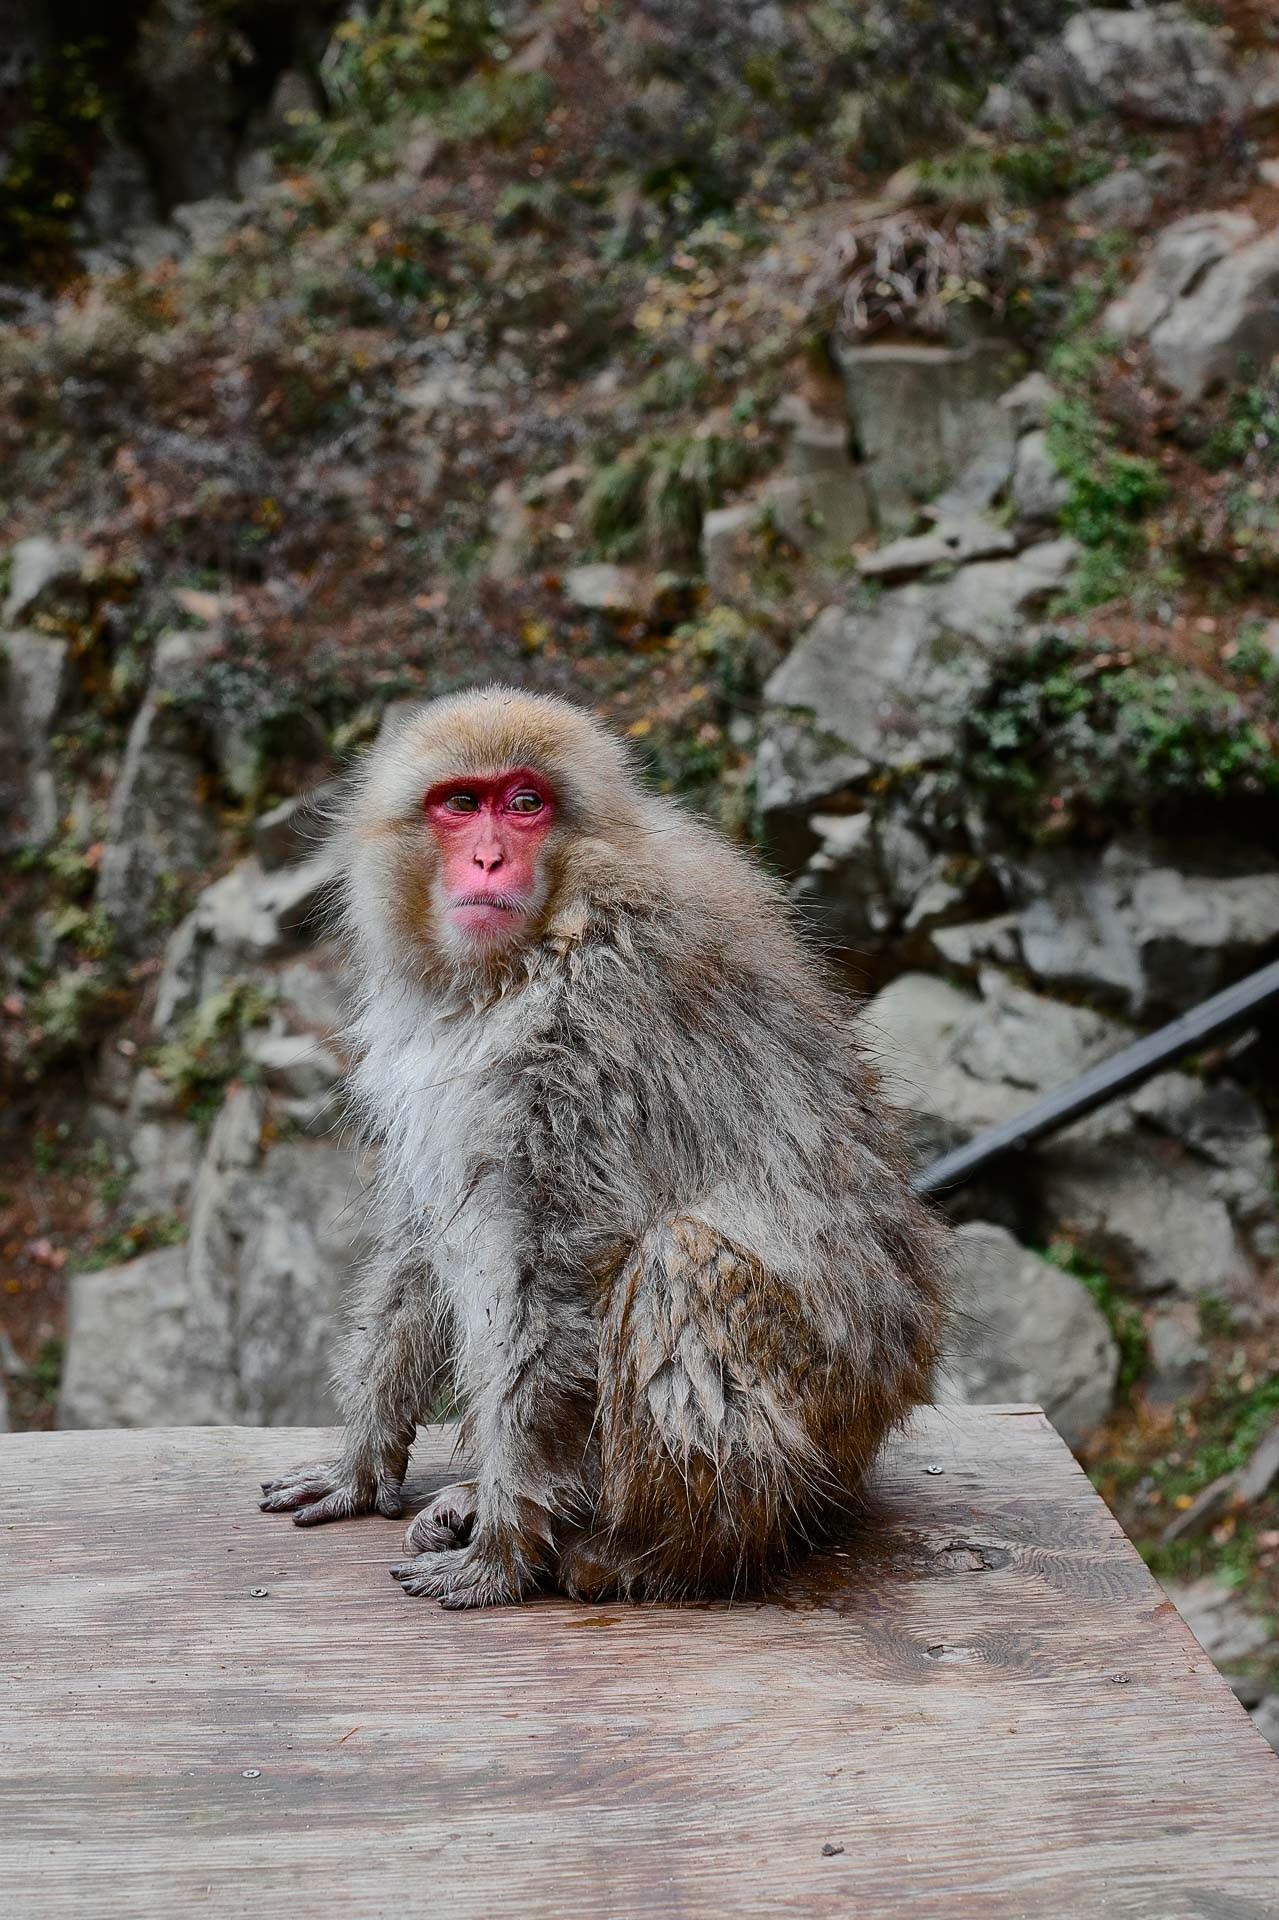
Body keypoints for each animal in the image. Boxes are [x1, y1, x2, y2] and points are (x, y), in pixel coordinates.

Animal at [260, 687, 950, 1608]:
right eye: (460, 803)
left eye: (526, 803)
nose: (486, 859)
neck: (516, 964)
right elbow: (425, 1241)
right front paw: (361, 1464)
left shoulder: (595, 1024)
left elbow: (555, 1271)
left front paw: (503, 1549)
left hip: (832, 1411)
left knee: (680, 1260)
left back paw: (662, 1554)